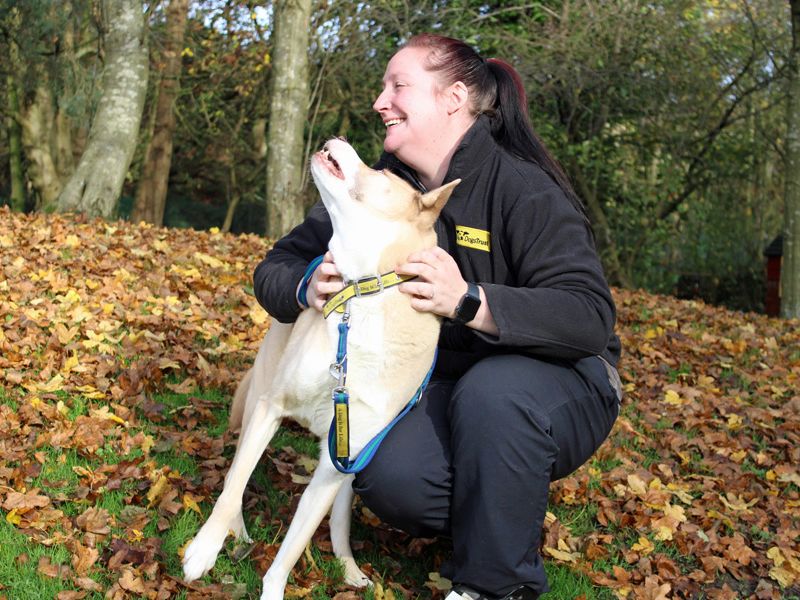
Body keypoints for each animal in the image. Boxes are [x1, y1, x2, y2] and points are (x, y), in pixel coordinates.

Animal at [180, 138, 456, 596]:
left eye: (384, 174)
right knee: (237, 471)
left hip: (348, 467)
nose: (335, 141)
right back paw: (238, 531)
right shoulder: (271, 407)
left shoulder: (338, 460)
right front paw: (205, 548)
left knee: (339, 519)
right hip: (258, 401)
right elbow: (233, 486)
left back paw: (349, 567)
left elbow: (294, 546)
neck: (362, 294)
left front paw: (273, 589)